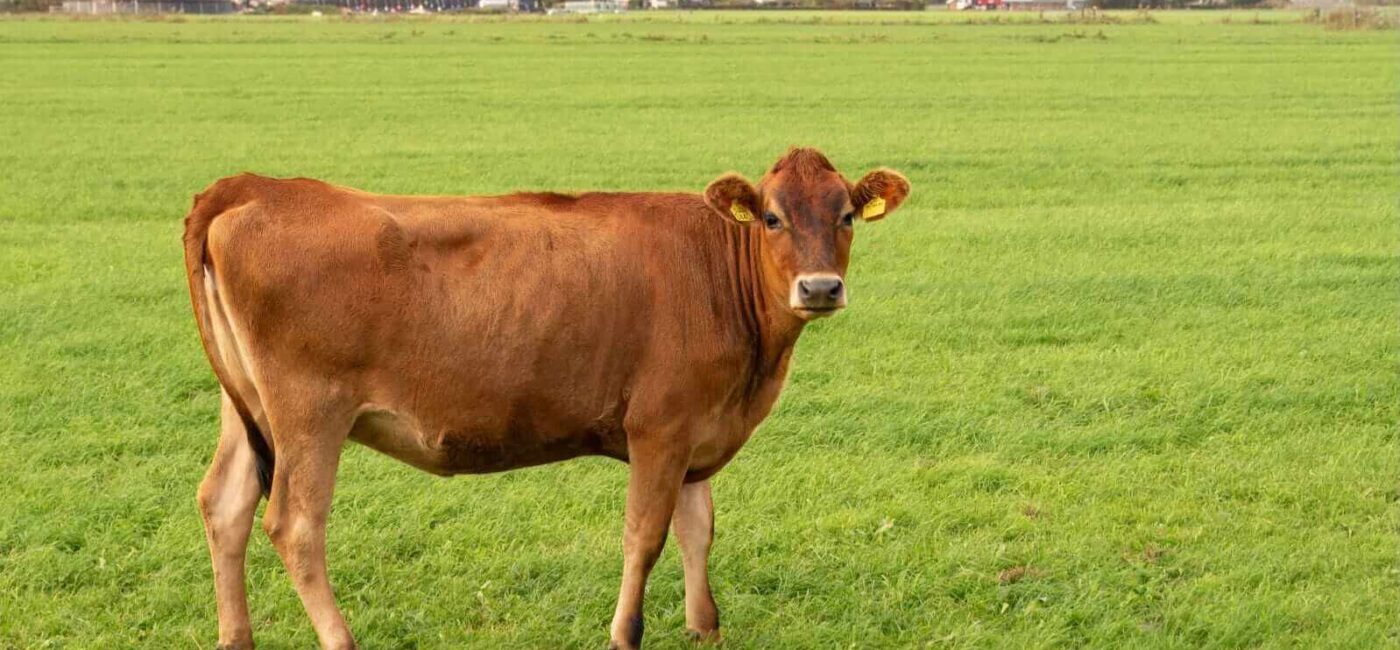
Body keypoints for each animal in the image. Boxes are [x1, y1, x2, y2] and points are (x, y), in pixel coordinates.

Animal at [184, 148, 910, 650]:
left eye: (846, 214)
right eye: (772, 217)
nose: (820, 288)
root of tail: (257, 186)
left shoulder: (699, 428)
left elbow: (698, 529)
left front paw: (705, 627)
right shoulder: (661, 427)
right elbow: (645, 535)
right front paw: (624, 632)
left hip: (246, 408)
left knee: (226, 503)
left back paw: (235, 637)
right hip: (310, 413)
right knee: (295, 524)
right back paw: (341, 638)